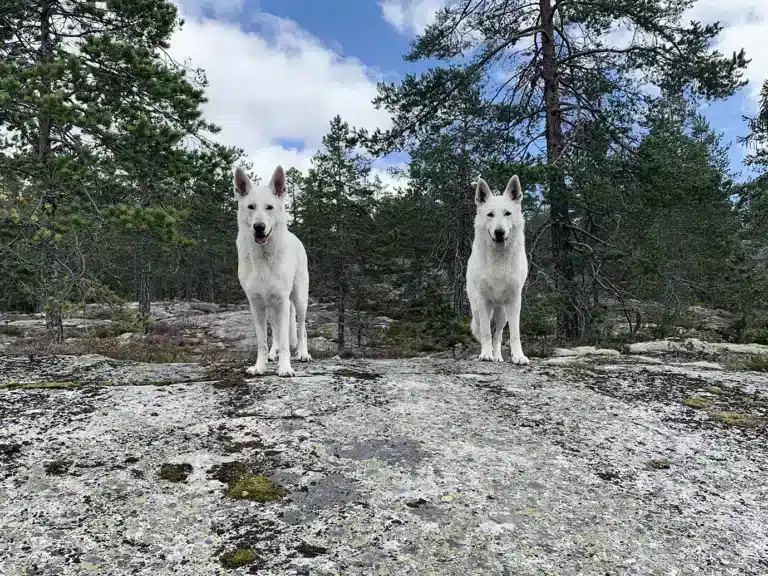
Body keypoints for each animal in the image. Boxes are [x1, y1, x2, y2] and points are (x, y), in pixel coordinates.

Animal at [232, 163, 310, 378]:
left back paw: (303, 353)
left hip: (299, 300)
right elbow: (262, 342)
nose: (259, 227)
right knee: (275, 333)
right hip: (271, 308)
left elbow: (285, 342)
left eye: (269, 207)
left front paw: (285, 368)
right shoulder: (256, 304)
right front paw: (260, 366)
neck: (263, 257)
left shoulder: (282, 301)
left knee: (302, 329)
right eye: (251, 207)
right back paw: (272, 354)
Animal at [464, 176, 532, 364]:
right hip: (478, 310)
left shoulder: (514, 301)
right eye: (490, 215)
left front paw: (518, 356)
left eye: (507, 213)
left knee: (499, 335)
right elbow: (486, 332)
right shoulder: (482, 300)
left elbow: (514, 334)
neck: (499, 259)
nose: (499, 232)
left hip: (503, 314)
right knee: (483, 330)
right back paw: (490, 354)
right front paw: (485, 354)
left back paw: (498, 357)